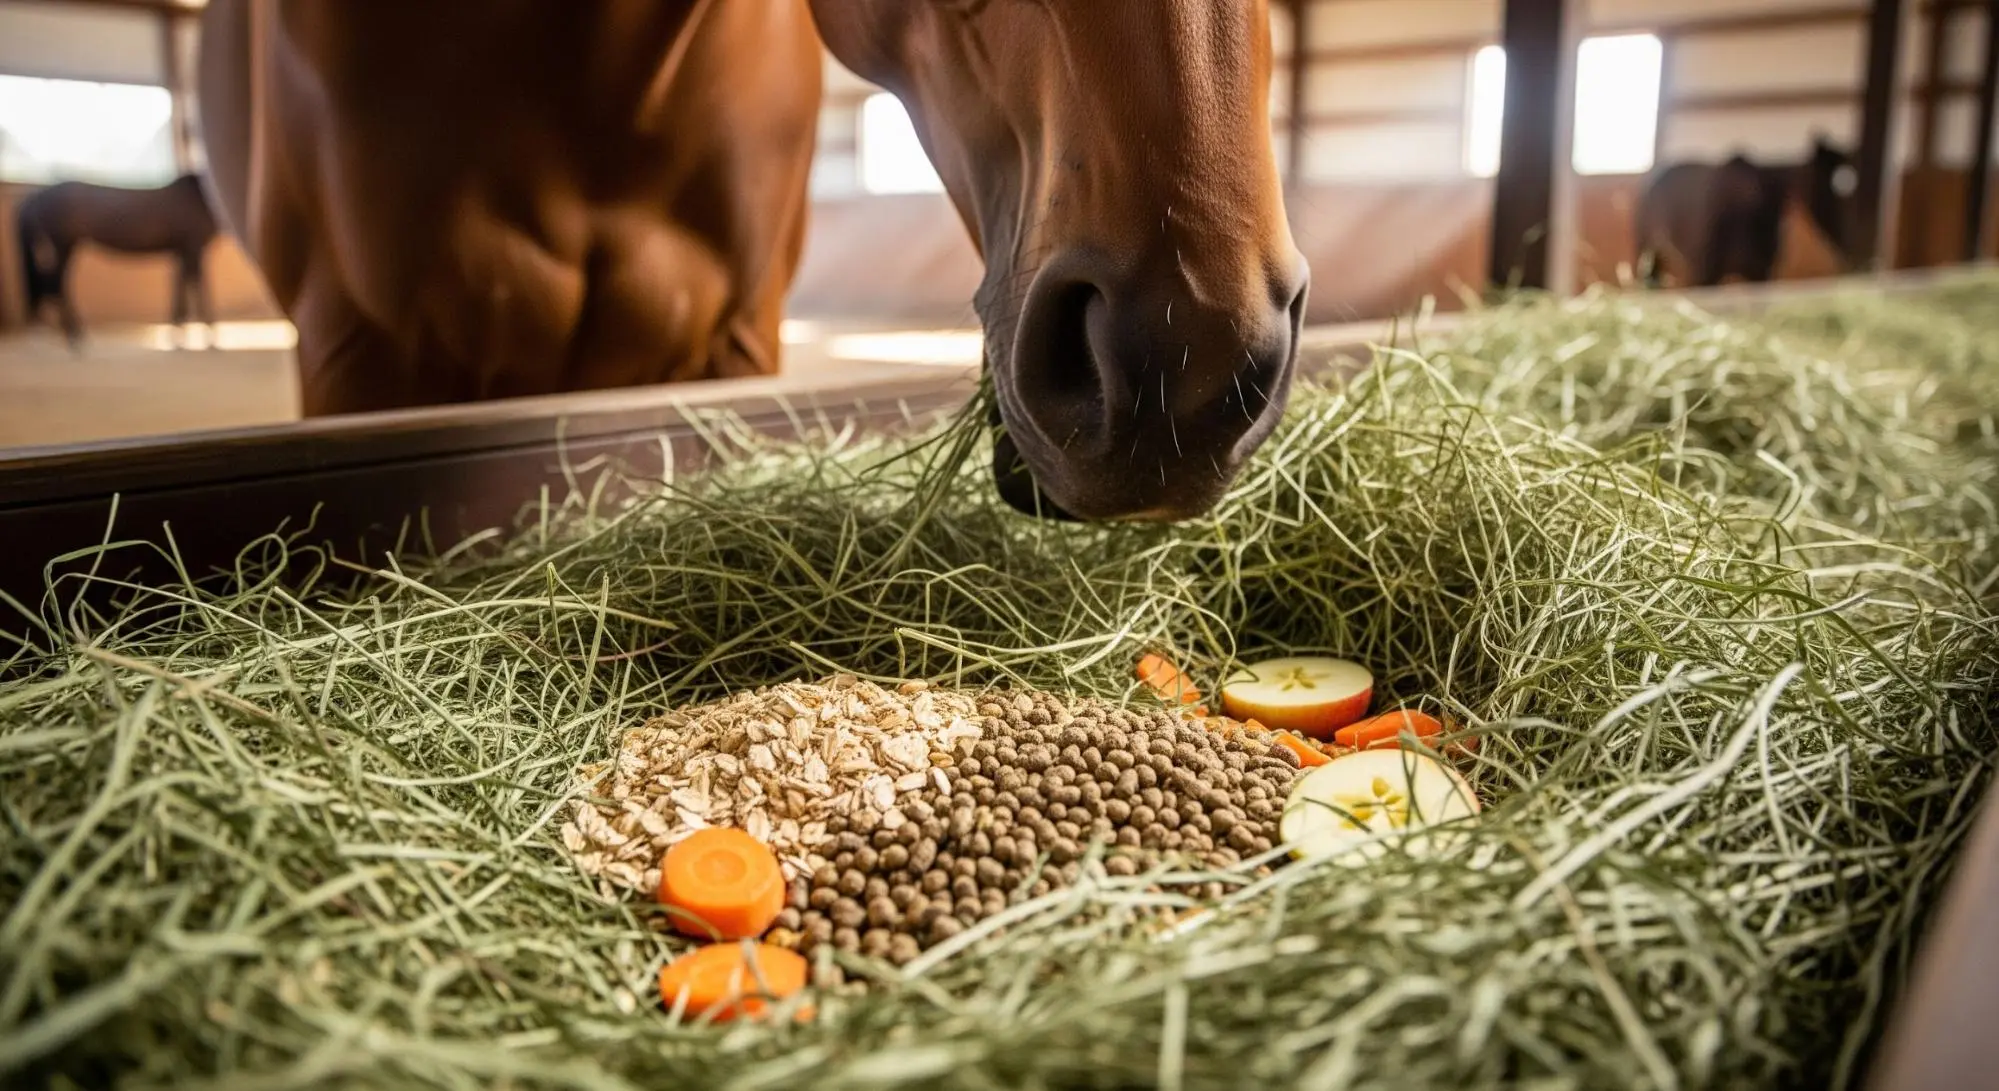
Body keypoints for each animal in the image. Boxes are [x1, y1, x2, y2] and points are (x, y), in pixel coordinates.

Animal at [13, 173, 220, 346]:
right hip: (63, 245)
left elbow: (179, 288)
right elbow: (199, 287)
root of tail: (36, 196)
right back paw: (74, 335)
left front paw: (177, 333)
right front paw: (209, 334)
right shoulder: (193, 248)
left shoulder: (180, 251)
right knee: (57, 285)